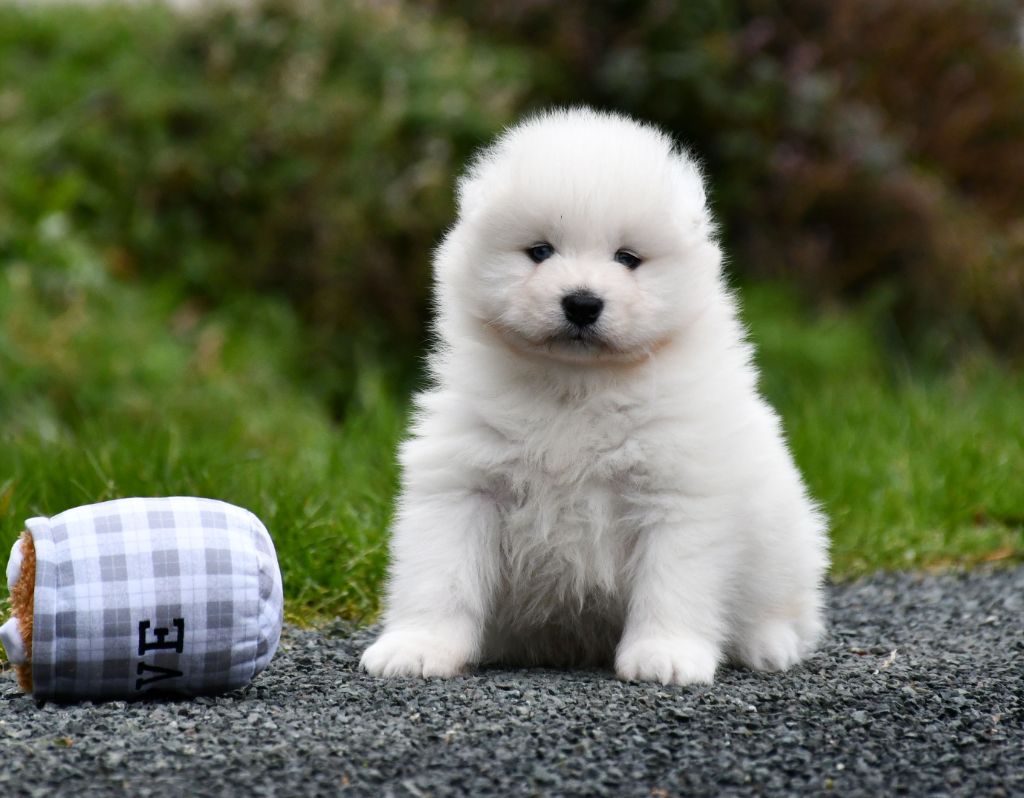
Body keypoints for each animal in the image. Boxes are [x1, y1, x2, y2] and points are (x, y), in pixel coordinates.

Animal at [364, 106, 827, 688]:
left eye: (627, 258)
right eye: (540, 251)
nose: (582, 303)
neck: (577, 386)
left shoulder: (677, 493)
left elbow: (672, 585)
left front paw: (664, 654)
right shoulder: (462, 483)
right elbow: (438, 576)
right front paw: (417, 646)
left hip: (787, 540)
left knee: (786, 611)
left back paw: (769, 645)